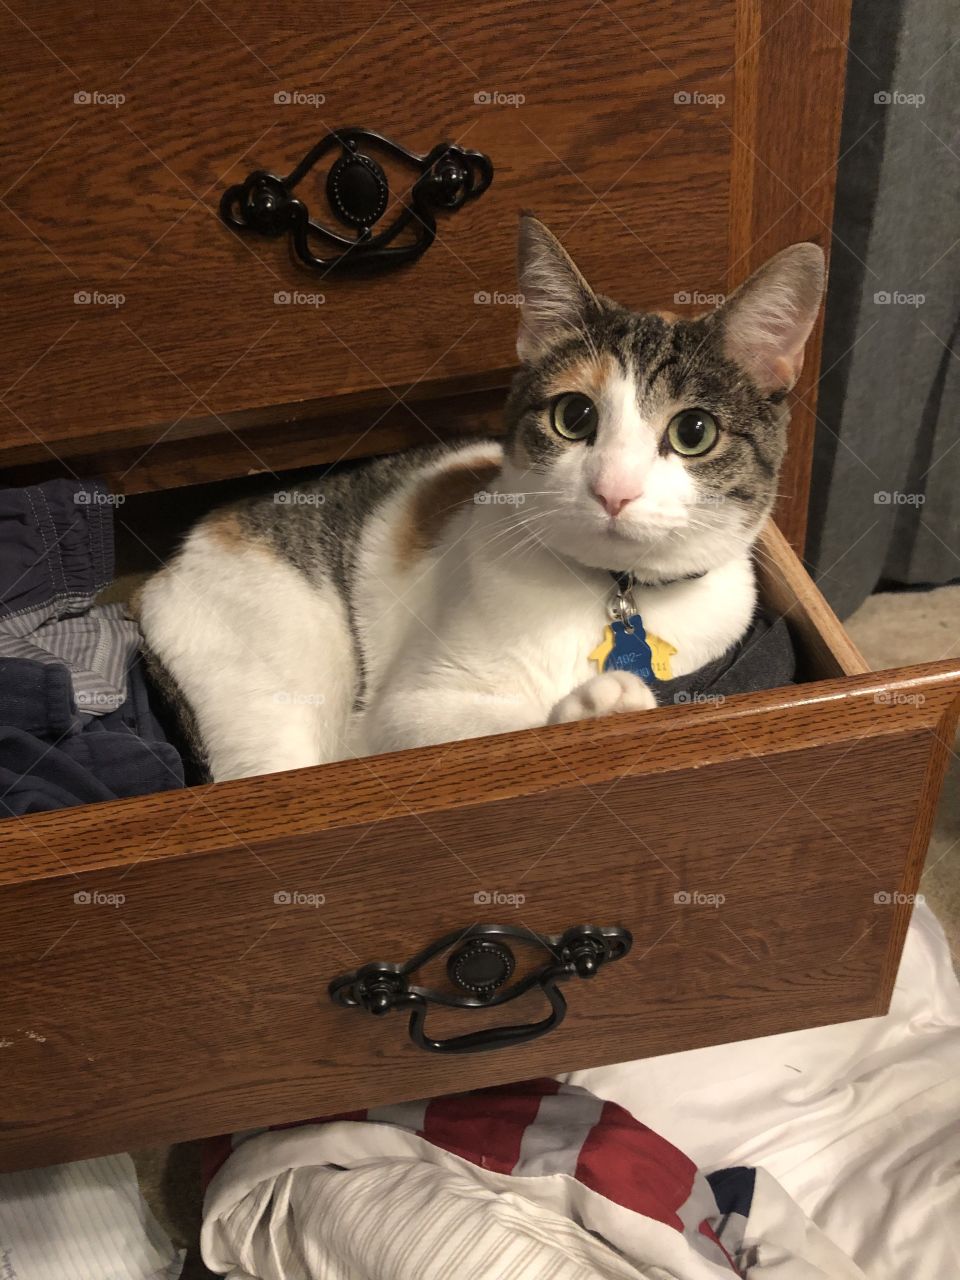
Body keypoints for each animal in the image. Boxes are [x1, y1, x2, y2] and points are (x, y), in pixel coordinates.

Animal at [136, 217, 829, 778]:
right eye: (574, 416)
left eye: (694, 432)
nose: (614, 490)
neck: (610, 592)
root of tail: (160, 576)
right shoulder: (400, 715)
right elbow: (498, 732)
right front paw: (598, 707)